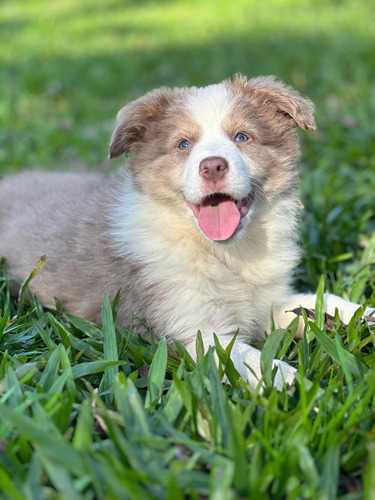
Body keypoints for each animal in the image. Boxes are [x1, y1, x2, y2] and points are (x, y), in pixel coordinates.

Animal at [0, 75, 372, 386]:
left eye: (241, 137)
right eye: (183, 144)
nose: (213, 166)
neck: (224, 253)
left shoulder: (268, 301)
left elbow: (320, 301)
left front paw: (365, 314)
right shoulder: (187, 326)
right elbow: (251, 360)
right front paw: (298, 387)